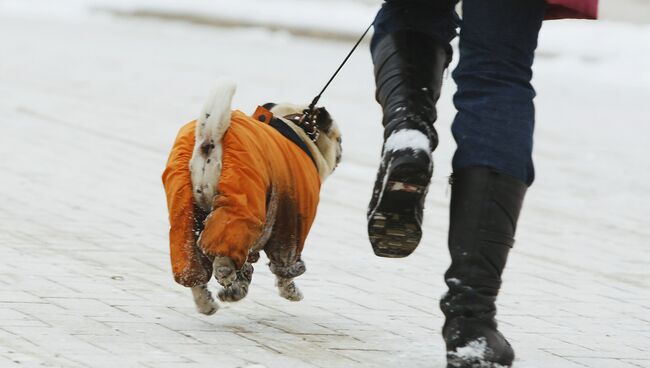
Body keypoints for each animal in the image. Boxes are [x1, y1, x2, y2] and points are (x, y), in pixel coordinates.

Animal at [162, 79, 342, 314]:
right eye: (339, 139)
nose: (341, 151)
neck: (297, 127)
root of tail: (209, 140)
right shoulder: (290, 228)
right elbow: (284, 267)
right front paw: (291, 291)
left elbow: (247, 265)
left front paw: (237, 288)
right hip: (241, 208)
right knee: (223, 257)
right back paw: (226, 277)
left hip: (187, 213)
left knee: (193, 265)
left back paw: (208, 302)